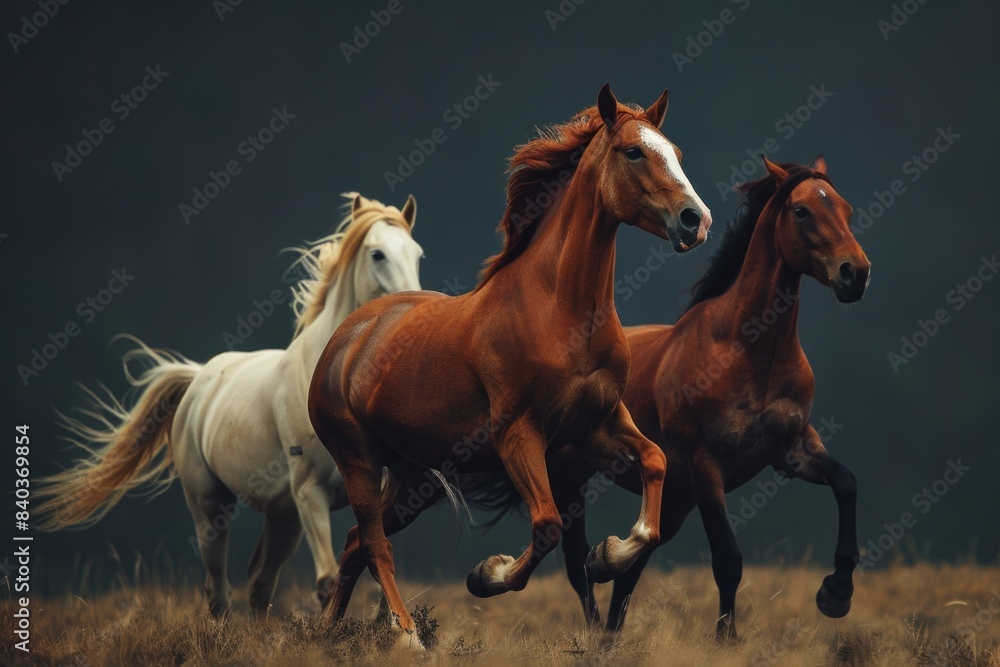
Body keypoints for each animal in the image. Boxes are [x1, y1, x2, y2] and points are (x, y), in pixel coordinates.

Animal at [35, 193, 424, 615]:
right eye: (377, 254)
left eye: (416, 253)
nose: (413, 307)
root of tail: (198, 378)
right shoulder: (311, 492)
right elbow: (328, 580)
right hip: (212, 507)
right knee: (219, 589)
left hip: (282, 516)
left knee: (259, 584)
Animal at [307, 83, 713, 649]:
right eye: (633, 151)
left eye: (675, 152)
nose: (696, 220)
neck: (562, 312)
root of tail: (345, 337)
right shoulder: (517, 434)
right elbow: (546, 524)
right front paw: (487, 574)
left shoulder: (597, 425)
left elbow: (654, 464)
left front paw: (608, 555)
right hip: (358, 458)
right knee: (374, 544)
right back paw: (407, 636)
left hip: (413, 477)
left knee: (354, 543)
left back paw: (327, 632)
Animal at [539, 156, 871, 640]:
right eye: (802, 211)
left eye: (845, 209)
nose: (856, 274)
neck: (750, 352)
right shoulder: (707, 465)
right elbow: (727, 559)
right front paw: (726, 639)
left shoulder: (792, 451)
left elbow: (846, 482)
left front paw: (836, 593)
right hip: (569, 479)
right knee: (577, 562)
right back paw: (596, 628)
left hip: (673, 498)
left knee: (630, 569)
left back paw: (610, 637)